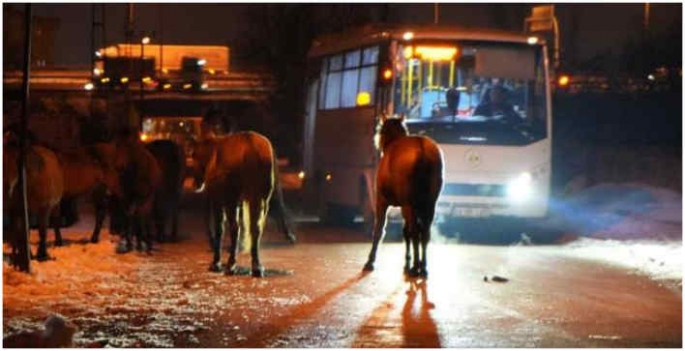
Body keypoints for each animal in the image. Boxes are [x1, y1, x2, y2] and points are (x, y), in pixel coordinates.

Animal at [364, 114, 444, 280]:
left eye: (381, 129)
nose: (377, 142)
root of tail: (423, 151)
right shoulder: (406, 207)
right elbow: (406, 231)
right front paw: (407, 262)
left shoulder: (382, 201)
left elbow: (379, 230)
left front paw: (370, 261)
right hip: (429, 205)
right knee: (424, 233)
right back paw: (422, 267)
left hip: (410, 204)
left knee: (415, 232)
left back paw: (415, 268)